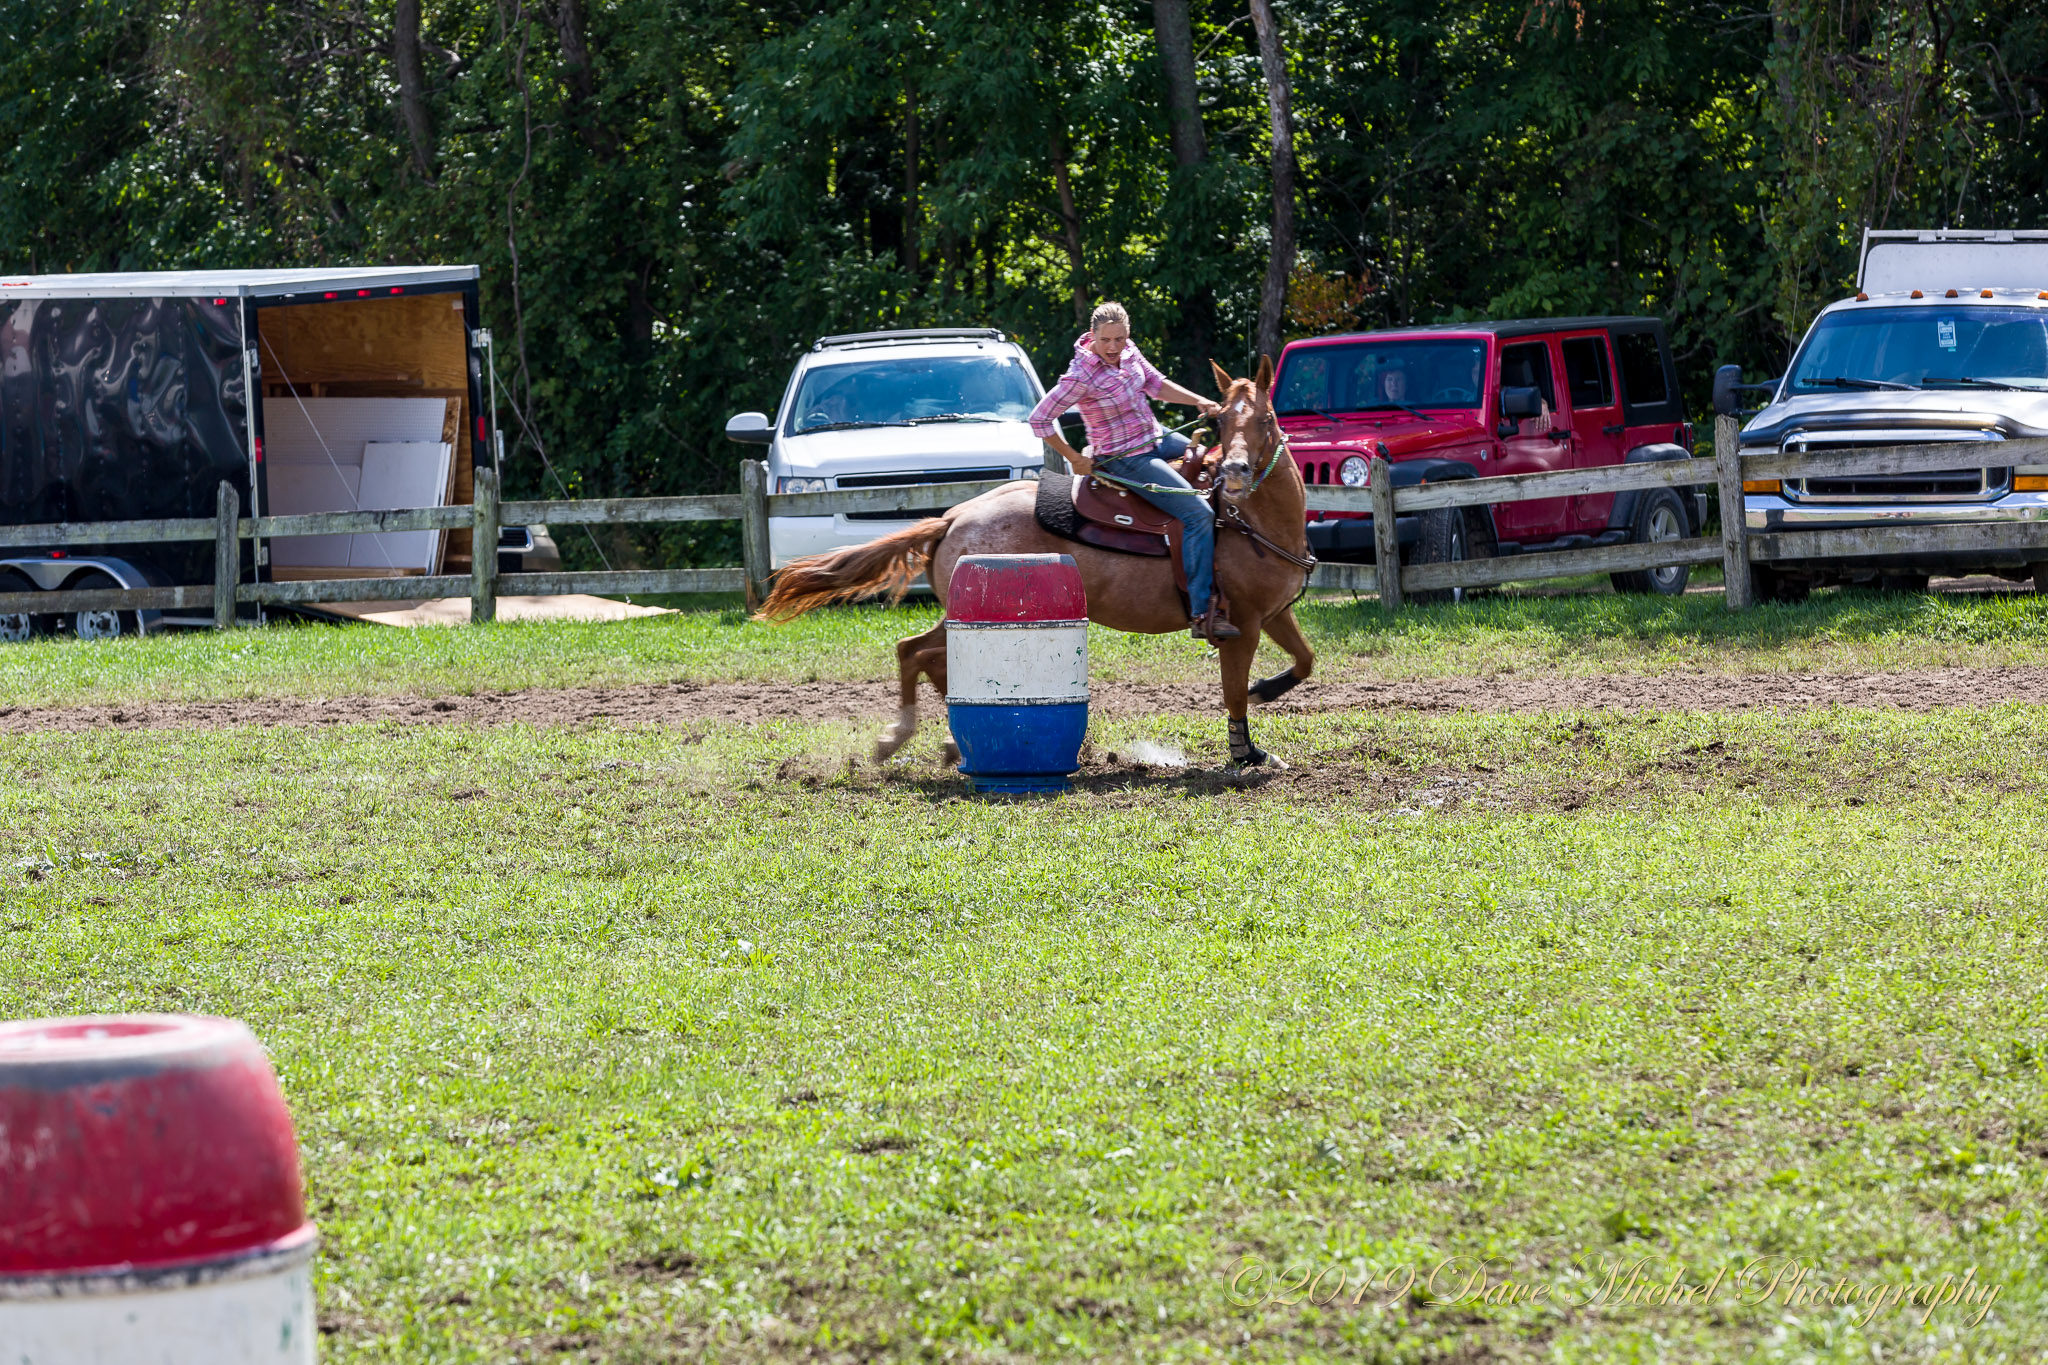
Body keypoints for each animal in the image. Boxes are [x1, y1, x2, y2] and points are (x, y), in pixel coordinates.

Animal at [754, 358, 1316, 768]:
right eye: (1221, 419)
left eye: (1266, 418)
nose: (1236, 470)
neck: (1245, 519)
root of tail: (953, 516)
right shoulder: (1240, 624)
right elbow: (1233, 693)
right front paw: (1246, 754)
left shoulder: (1275, 614)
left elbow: (1305, 660)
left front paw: (1268, 689)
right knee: (920, 653)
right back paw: (913, 739)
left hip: (960, 609)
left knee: (915, 651)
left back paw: (937, 743)